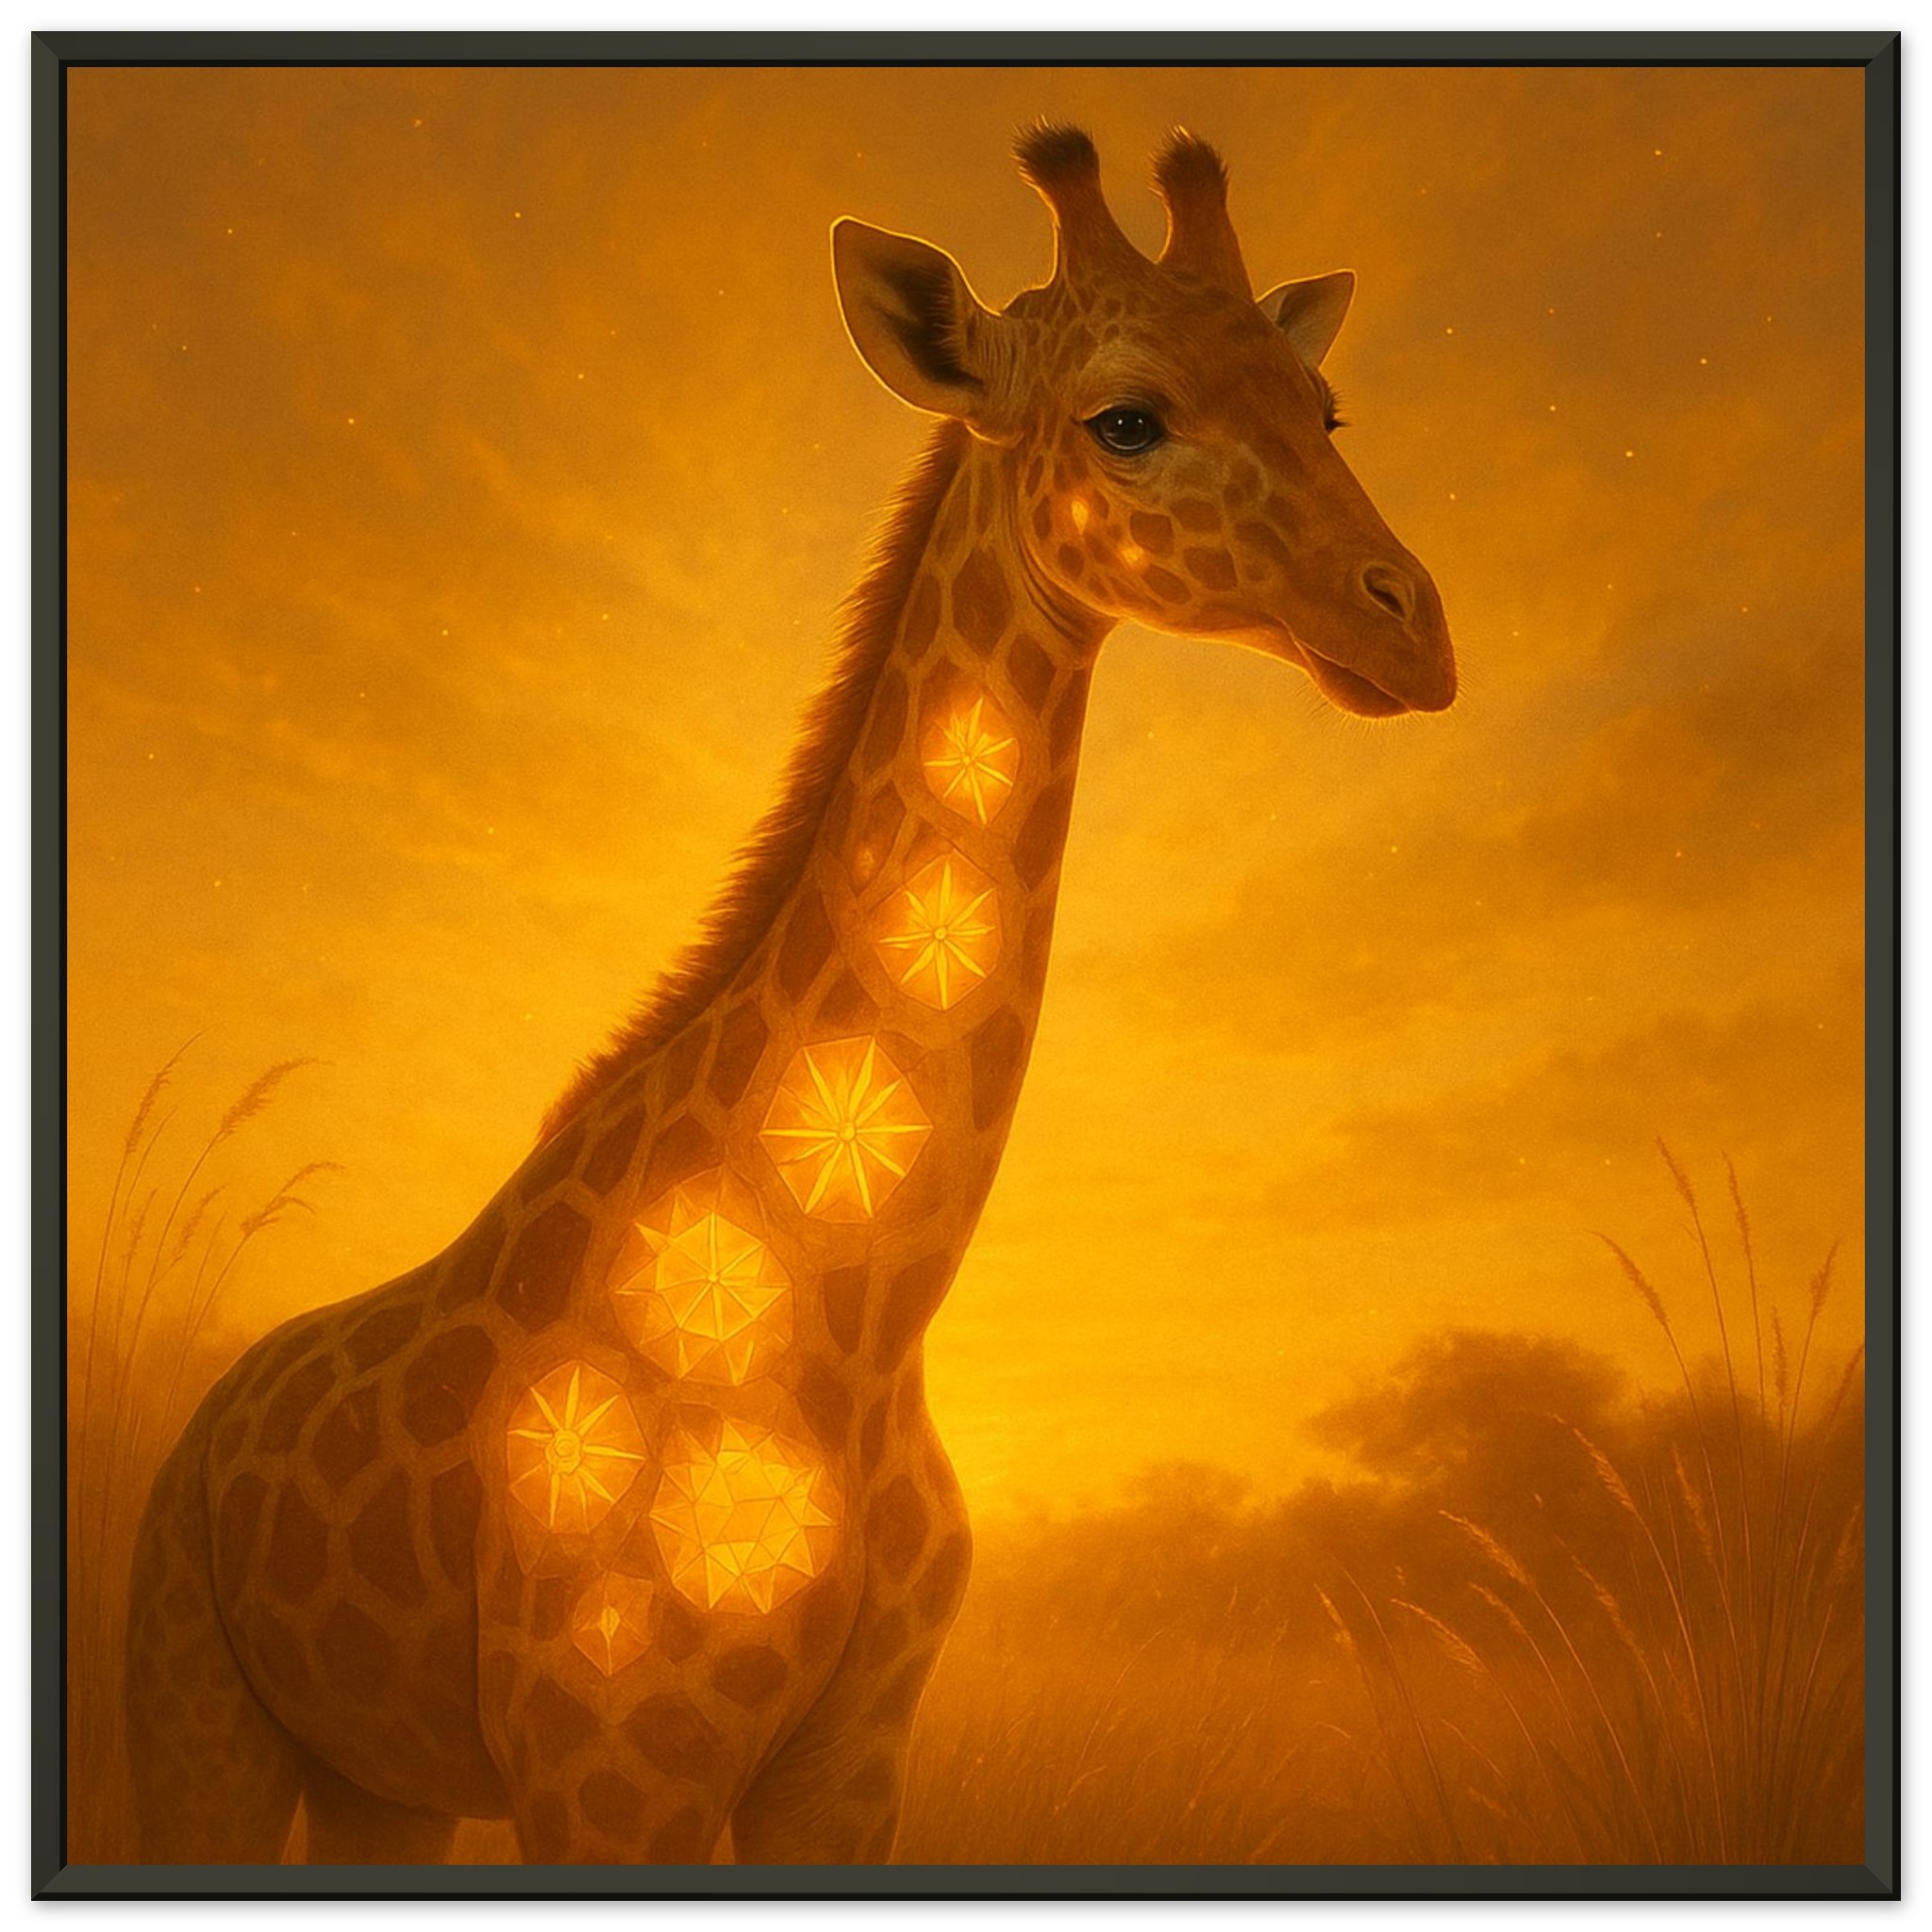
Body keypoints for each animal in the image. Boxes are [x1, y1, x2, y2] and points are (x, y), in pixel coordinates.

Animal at [123, 125, 1454, 1867]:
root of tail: (200, 1424)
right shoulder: (611, 1764)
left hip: (376, 1778)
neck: (856, 1321)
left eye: (1324, 408)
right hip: (198, 1702)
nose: (1411, 629)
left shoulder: (849, 1762)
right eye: (1126, 419)